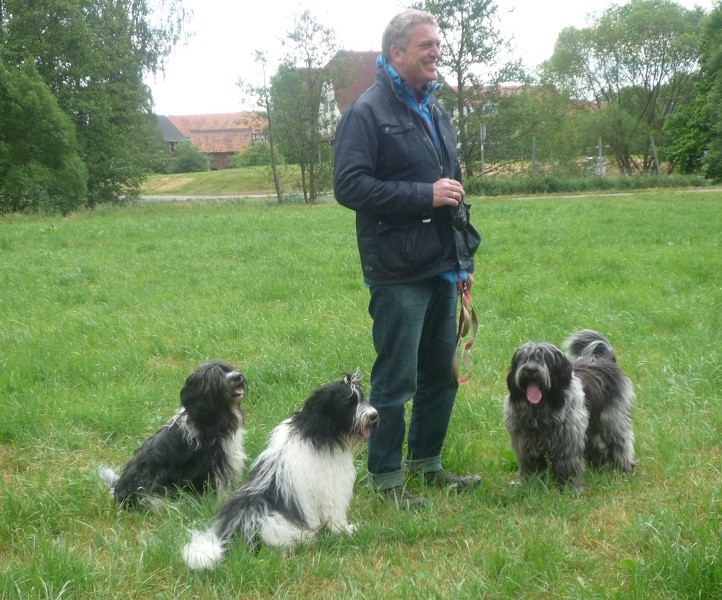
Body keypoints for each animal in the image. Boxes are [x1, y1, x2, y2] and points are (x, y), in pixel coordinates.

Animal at [99, 358, 248, 508]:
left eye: (227, 368)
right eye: (215, 377)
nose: (238, 376)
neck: (209, 418)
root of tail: (118, 492)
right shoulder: (212, 465)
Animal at [181, 370, 376, 572]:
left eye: (361, 398)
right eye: (348, 403)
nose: (374, 415)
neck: (318, 431)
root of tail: (233, 532)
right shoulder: (332, 489)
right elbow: (336, 515)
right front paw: (346, 531)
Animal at [500, 330, 636, 490]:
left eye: (545, 358)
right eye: (524, 359)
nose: (530, 369)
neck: (541, 410)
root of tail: (605, 360)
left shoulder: (568, 442)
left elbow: (567, 465)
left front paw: (569, 488)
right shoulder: (526, 444)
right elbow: (532, 466)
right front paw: (532, 484)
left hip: (613, 420)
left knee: (620, 443)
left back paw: (624, 467)